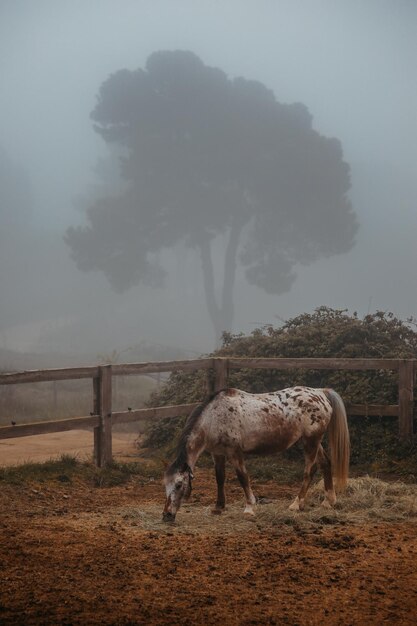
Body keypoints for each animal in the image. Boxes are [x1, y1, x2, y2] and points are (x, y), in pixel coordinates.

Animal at [161, 386, 350, 520]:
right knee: (326, 463)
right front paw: (219, 507)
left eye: (179, 484)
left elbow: (243, 478)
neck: (214, 418)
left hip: (311, 441)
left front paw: (249, 508)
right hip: (312, 441)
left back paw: (296, 504)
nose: (167, 515)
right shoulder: (218, 454)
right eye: (165, 485)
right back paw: (328, 501)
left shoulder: (235, 453)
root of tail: (321, 393)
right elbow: (220, 479)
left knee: (309, 471)